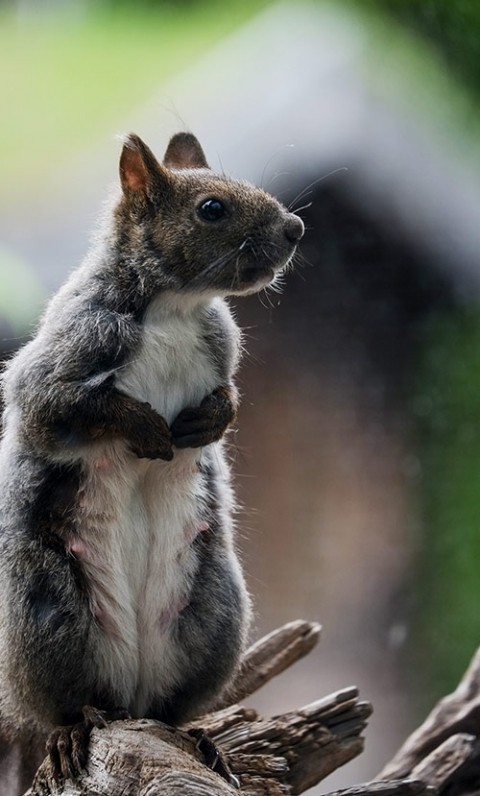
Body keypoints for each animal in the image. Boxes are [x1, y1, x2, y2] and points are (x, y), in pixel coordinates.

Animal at [0, 129, 304, 788]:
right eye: (211, 208)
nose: (295, 228)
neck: (175, 308)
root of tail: (127, 695)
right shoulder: (68, 353)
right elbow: (55, 406)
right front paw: (146, 429)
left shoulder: (220, 348)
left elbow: (230, 398)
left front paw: (208, 421)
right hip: (46, 616)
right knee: (65, 705)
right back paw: (70, 732)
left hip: (213, 613)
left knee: (170, 708)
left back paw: (195, 738)